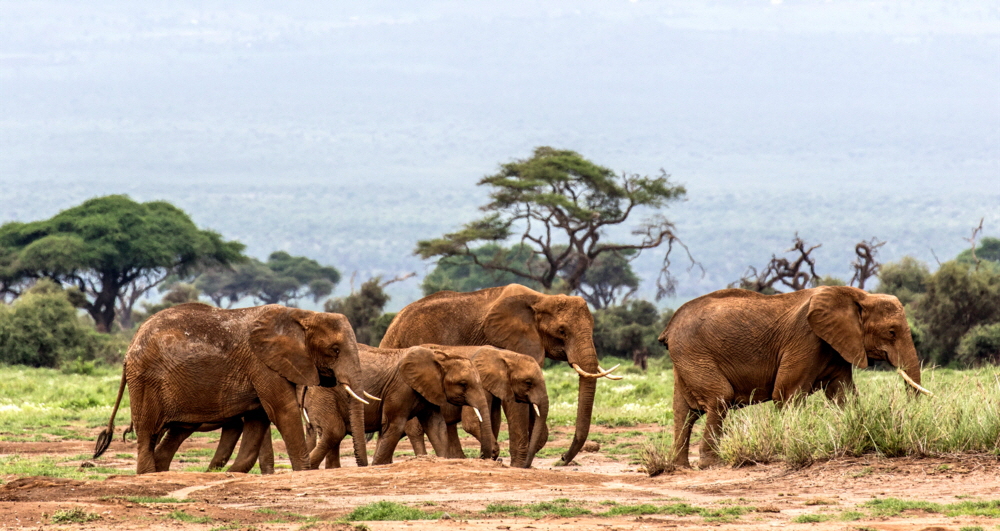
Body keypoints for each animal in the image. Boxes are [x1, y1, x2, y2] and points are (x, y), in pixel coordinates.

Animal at [92, 304, 368, 474]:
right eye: (335, 350)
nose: (364, 467)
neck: (303, 314)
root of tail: (129, 350)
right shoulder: (261, 363)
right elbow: (283, 410)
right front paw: (303, 472)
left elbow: (258, 418)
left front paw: (232, 473)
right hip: (146, 380)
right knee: (148, 432)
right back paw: (149, 474)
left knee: (174, 432)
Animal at [302, 344, 494, 466]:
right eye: (463, 384)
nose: (487, 456)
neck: (439, 357)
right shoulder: (400, 388)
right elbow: (394, 425)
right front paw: (377, 466)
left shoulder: (428, 390)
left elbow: (436, 426)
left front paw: (443, 459)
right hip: (323, 395)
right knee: (334, 431)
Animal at [380, 284, 620, 468]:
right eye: (562, 331)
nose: (561, 459)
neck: (541, 299)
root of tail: (391, 327)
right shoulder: (508, 342)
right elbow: (513, 403)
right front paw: (517, 465)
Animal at [660, 286, 932, 470]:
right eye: (892, 332)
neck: (857, 295)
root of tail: (669, 328)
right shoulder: (806, 338)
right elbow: (786, 393)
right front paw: (792, 448)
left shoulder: (835, 345)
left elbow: (843, 395)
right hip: (693, 352)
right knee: (719, 399)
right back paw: (711, 464)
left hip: (686, 358)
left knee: (684, 411)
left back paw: (680, 467)